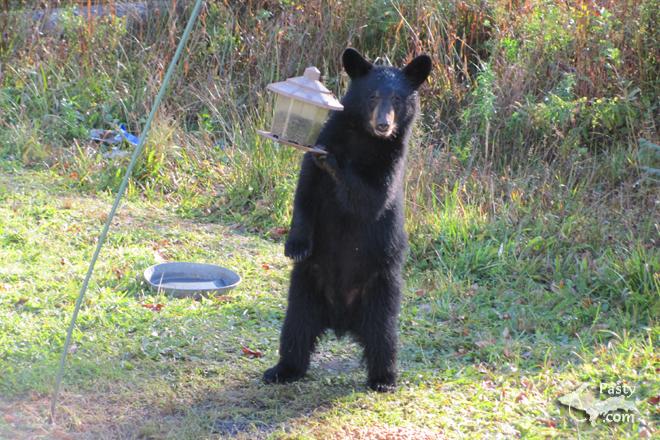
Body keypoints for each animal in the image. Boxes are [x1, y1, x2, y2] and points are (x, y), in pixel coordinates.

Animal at [263, 48, 432, 392]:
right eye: (372, 95)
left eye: (397, 98)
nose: (383, 124)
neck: (365, 139)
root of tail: (341, 321)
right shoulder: (328, 137)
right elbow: (304, 193)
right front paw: (295, 245)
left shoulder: (391, 160)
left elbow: (372, 198)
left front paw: (332, 161)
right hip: (305, 288)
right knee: (295, 329)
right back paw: (282, 370)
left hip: (382, 290)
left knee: (383, 338)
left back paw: (384, 378)